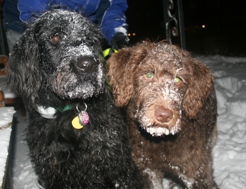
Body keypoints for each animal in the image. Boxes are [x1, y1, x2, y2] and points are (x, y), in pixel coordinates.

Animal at [106, 41, 218, 189]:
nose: (164, 115)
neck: (161, 141)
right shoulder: (148, 170)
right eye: (148, 75)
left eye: (178, 79)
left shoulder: (197, 174)